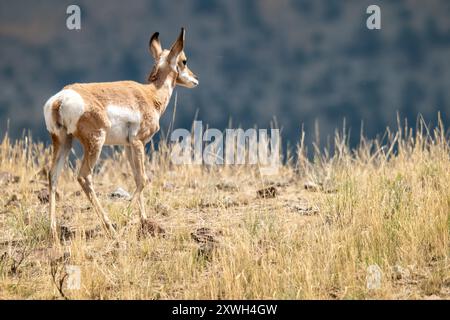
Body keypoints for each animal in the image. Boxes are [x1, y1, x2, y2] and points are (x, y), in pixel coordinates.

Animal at [43, 28, 197, 242]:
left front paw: (144, 220)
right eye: (184, 60)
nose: (195, 79)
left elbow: (136, 178)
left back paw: (53, 230)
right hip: (95, 143)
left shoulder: (127, 146)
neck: (151, 94)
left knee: (53, 175)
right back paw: (110, 228)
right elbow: (143, 179)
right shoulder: (138, 142)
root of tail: (60, 99)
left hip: (63, 142)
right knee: (84, 176)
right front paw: (126, 216)